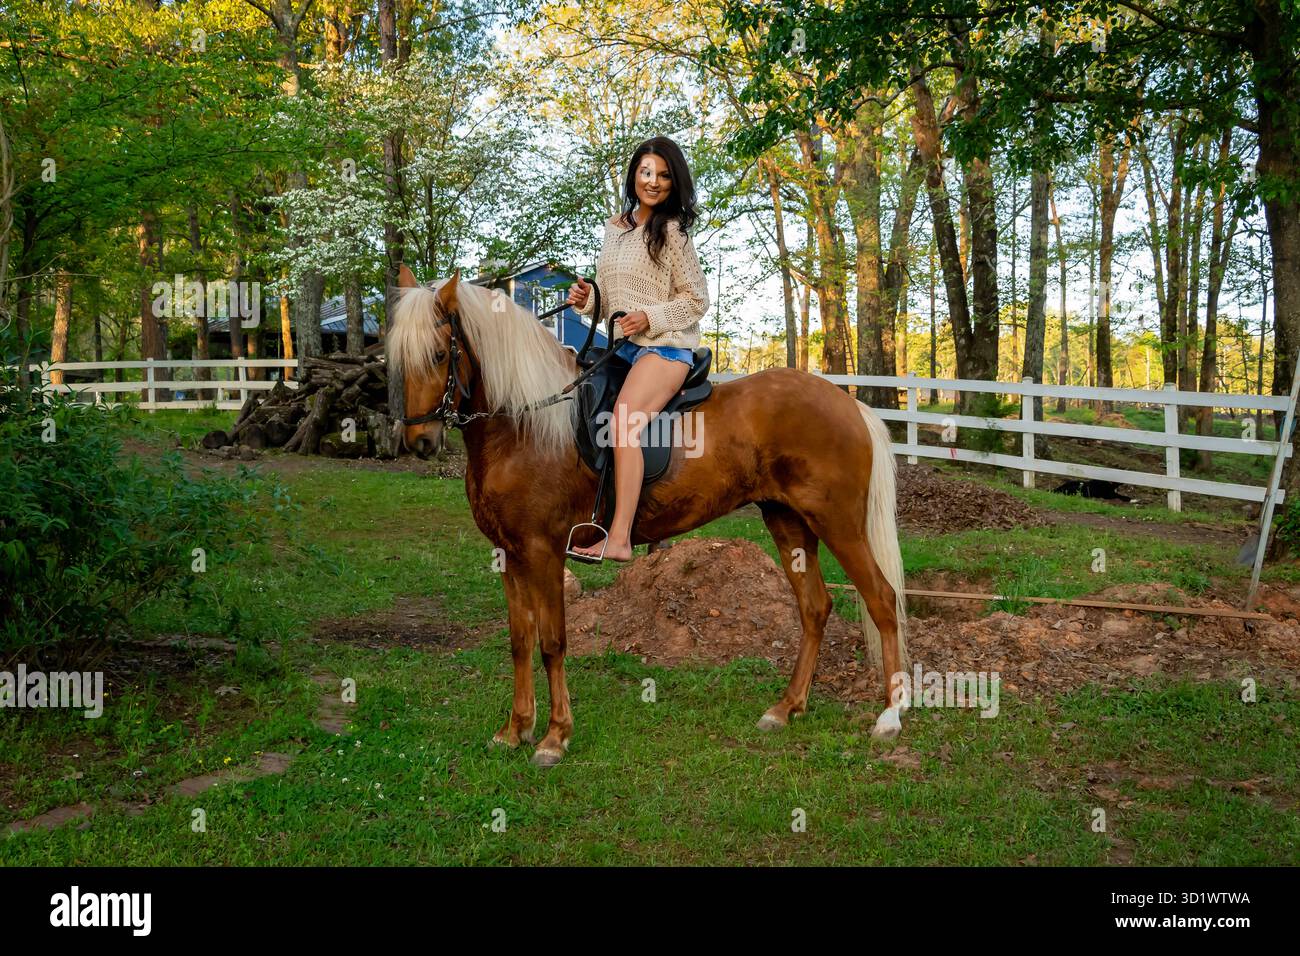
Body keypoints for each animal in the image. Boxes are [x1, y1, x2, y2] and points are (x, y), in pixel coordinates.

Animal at [388, 266, 910, 766]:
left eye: (440, 354)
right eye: (395, 360)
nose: (421, 442)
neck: (524, 427)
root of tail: (850, 403)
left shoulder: (542, 552)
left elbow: (552, 642)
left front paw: (555, 738)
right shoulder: (509, 555)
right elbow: (520, 640)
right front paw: (515, 730)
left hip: (839, 523)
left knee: (882, 600)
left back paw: (889, 716)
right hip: (788, 522)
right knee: (815, 608)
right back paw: (787, 707)